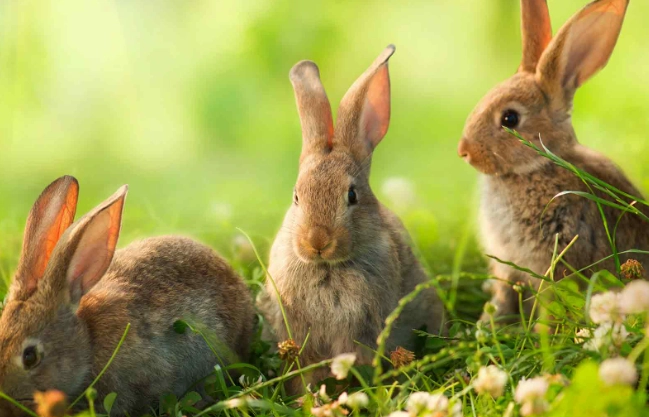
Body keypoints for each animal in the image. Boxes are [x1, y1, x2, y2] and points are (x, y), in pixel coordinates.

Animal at [457, 0, 649, 322]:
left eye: (510, 119)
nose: (464, 151)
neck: (537, 167)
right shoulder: (507, 264)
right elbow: (504, 294)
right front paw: (489, 322)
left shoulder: (558, 255)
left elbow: (553, 301)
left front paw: (541, 329)